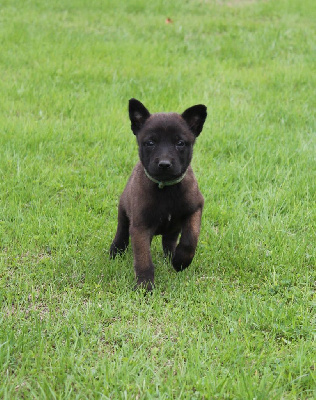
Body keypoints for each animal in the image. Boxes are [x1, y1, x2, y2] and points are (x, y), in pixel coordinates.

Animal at [109, 98, 207, 290]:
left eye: (180, 143)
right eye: (150, 143)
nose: (164, 164)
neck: (166, 188)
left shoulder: (195, 209)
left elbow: (190, 239)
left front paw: (180, 262)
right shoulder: (140, 226)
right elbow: (143, 259)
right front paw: (145, 286)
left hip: (173, 227)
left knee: (169, 240)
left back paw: (172, 256)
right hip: (124, 211)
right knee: (122, 232)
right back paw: (115, 251)